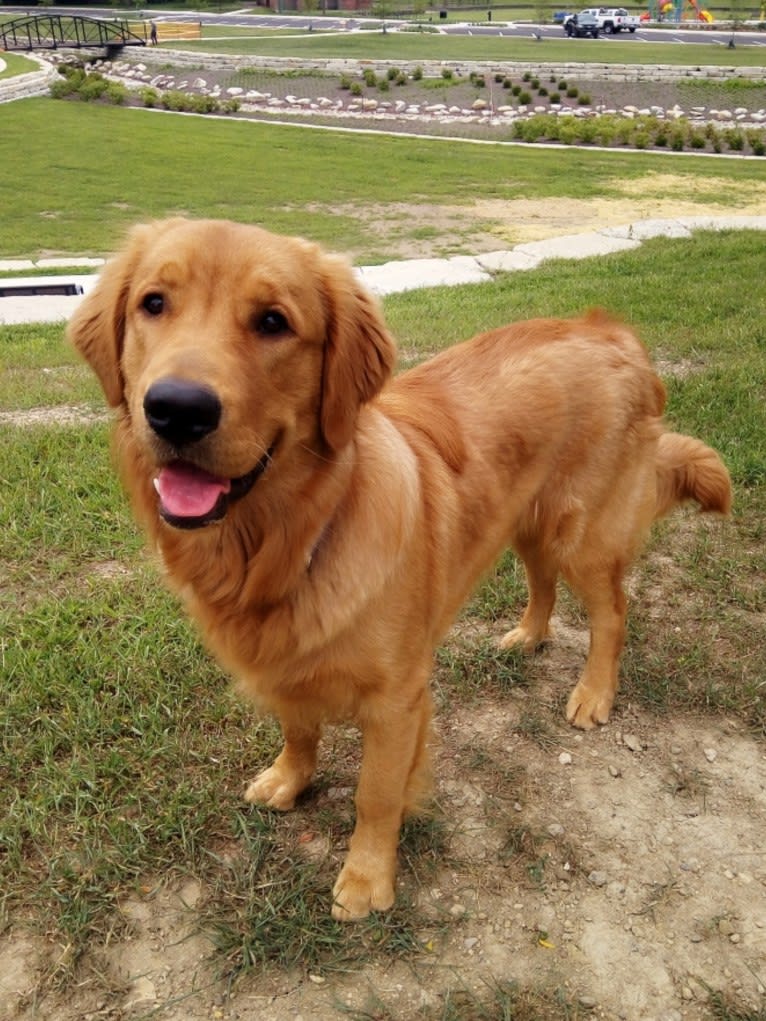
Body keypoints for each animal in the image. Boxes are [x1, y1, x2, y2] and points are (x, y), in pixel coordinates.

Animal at [68, 219, 735, 922]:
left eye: (273, 321)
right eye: (154, 304)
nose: (176, 409)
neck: (293, 539)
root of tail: (612, 332)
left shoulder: (396, 702)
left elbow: (376, 796)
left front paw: (366, 880)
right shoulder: (288, 660)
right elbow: (298, 728)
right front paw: (288, 779)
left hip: (582, 532)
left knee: (612, 613)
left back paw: (594, 693)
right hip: (523, 520)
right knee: (541, 580)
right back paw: (529, 635)